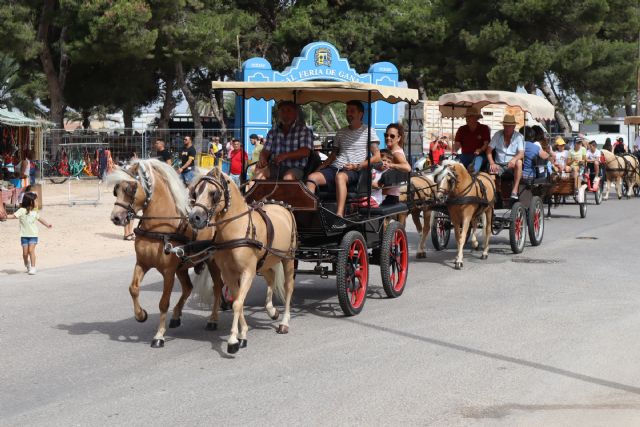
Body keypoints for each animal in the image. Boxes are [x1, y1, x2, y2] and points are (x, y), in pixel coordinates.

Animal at [107, 159, 222, 350]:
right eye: (117, 189)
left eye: (131, 188)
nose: (116, 217)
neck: (159, 226)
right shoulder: (142, 263)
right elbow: (133, 288)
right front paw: (140, 315)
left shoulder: (168, 272)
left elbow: (163, 302)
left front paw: (159, 335)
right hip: (182, 267)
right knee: (188, 288)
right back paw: (176, 316)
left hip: (212, 262)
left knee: (217, 287)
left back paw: (213, 320)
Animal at [188, 167, 298, 354]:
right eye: (195, 193)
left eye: (213, 193)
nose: (194, 217)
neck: (237, 229)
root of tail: (282, 205)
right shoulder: (229, 273)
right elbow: (237, 300)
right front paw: (242, 334)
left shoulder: (247, 272)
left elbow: (237, 303)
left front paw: (233, 340)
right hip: (265, 262)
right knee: (271, 277)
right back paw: (271, 310)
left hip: (288, 258)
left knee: (289, 287)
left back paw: (284, 322)